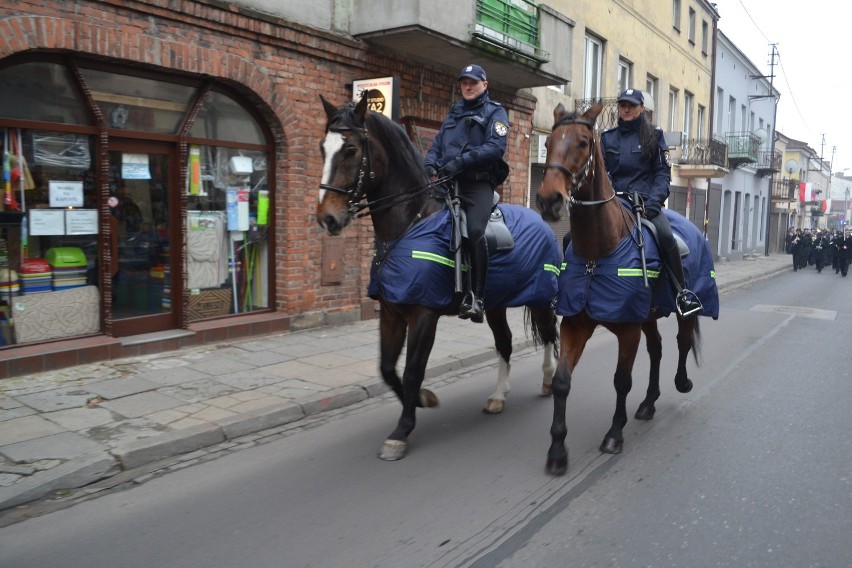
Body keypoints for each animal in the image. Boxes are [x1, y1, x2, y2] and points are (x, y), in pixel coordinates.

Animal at [312, 94, 560, 462]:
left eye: (351, 150)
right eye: (321, 148)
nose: (327, 218)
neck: (411, 222)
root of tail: (541, 219)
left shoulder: (424, 314)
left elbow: (413, 370)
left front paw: (401, 431)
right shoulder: (391, 312)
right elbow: (387, 368)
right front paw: (422, 399)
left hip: (541, 295)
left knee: (548, 333)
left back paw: (548, 379)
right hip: (496, 304)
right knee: (505, 342)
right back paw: (498, 396)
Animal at [536, 102, 708, 474]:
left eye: (583, 142)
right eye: (549, 143)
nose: (548, 200)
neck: (599, 251)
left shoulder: (627, 329)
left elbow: (621, 381)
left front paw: (614, 434)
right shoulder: (576, 324)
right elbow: (561, 381)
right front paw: (557, 450)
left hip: (681, 309)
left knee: (682, 340)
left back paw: (681, 382)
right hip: (649, 316)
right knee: (657, 349)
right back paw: (648, 402)